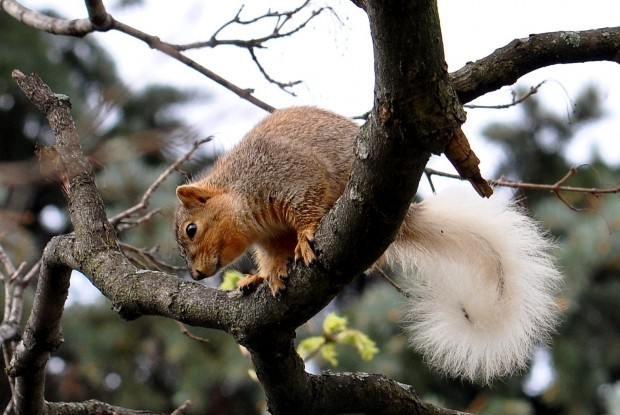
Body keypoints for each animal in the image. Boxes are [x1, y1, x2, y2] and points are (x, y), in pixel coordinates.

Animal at [174, 106, 560, 384]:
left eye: (191, 229)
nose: (195, 275)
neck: (242, 193)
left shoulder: (291, 175)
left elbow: (307, 206)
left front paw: (306, 237)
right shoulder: (269, 239)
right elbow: (272, 259)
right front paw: (262, 276)